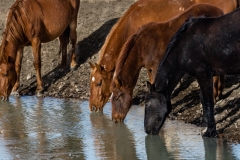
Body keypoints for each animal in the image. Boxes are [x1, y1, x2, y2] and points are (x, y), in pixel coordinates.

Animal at [144, 7, 240, 138]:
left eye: (147, 105)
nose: (147, 130)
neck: (184, 46)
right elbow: (203, 100)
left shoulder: (203, 75)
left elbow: (208, 101)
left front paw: (209, 131)